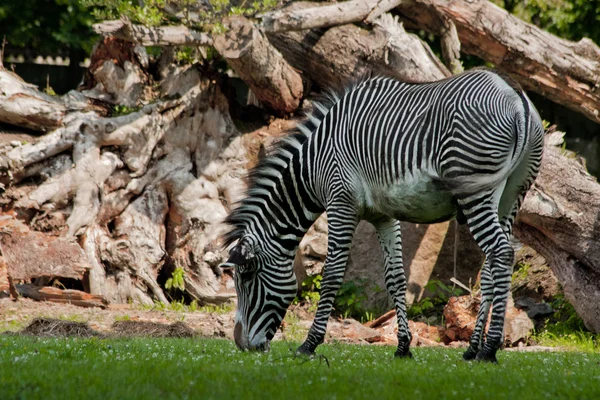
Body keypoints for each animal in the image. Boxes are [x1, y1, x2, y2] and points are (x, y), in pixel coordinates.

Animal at [220, 68, 544, 362]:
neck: (314, 164)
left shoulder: (340, 202)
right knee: (492, 265)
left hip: (476, 189)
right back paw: (472, 349)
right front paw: (403, 346)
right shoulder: (383, 215)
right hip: (513, 194)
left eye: (246, 278)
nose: (242, 345)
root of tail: (515, 96)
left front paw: (309, 344)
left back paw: (489, 349)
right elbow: (395, 278)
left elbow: (332, 274)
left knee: (501, 252)